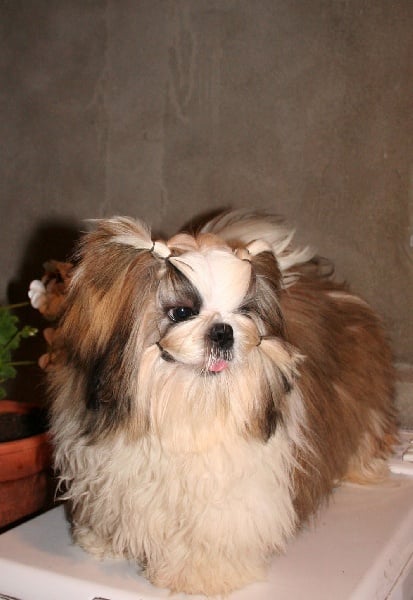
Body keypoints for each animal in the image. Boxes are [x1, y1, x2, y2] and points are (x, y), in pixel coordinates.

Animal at [48, 210, 397, 595]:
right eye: (181, 312)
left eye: (244, 312)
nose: (223, 331)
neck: (187, 411)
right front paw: (104, 540)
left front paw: (201, 574)